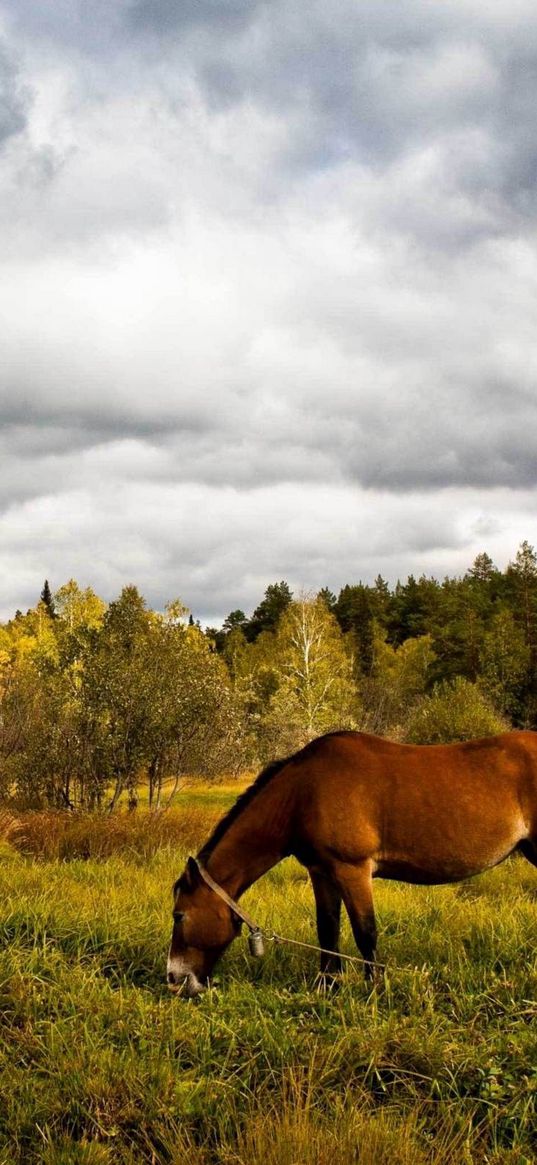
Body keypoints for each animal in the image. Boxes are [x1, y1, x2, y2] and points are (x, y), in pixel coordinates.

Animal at [166, 726, 535, 992]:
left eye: (179, 915)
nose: (173, 979)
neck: (304, 792)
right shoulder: (321, 872)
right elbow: (328, 928)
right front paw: (328, 985)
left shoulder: (352, 870)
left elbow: (365, 931)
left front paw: (375, 990)